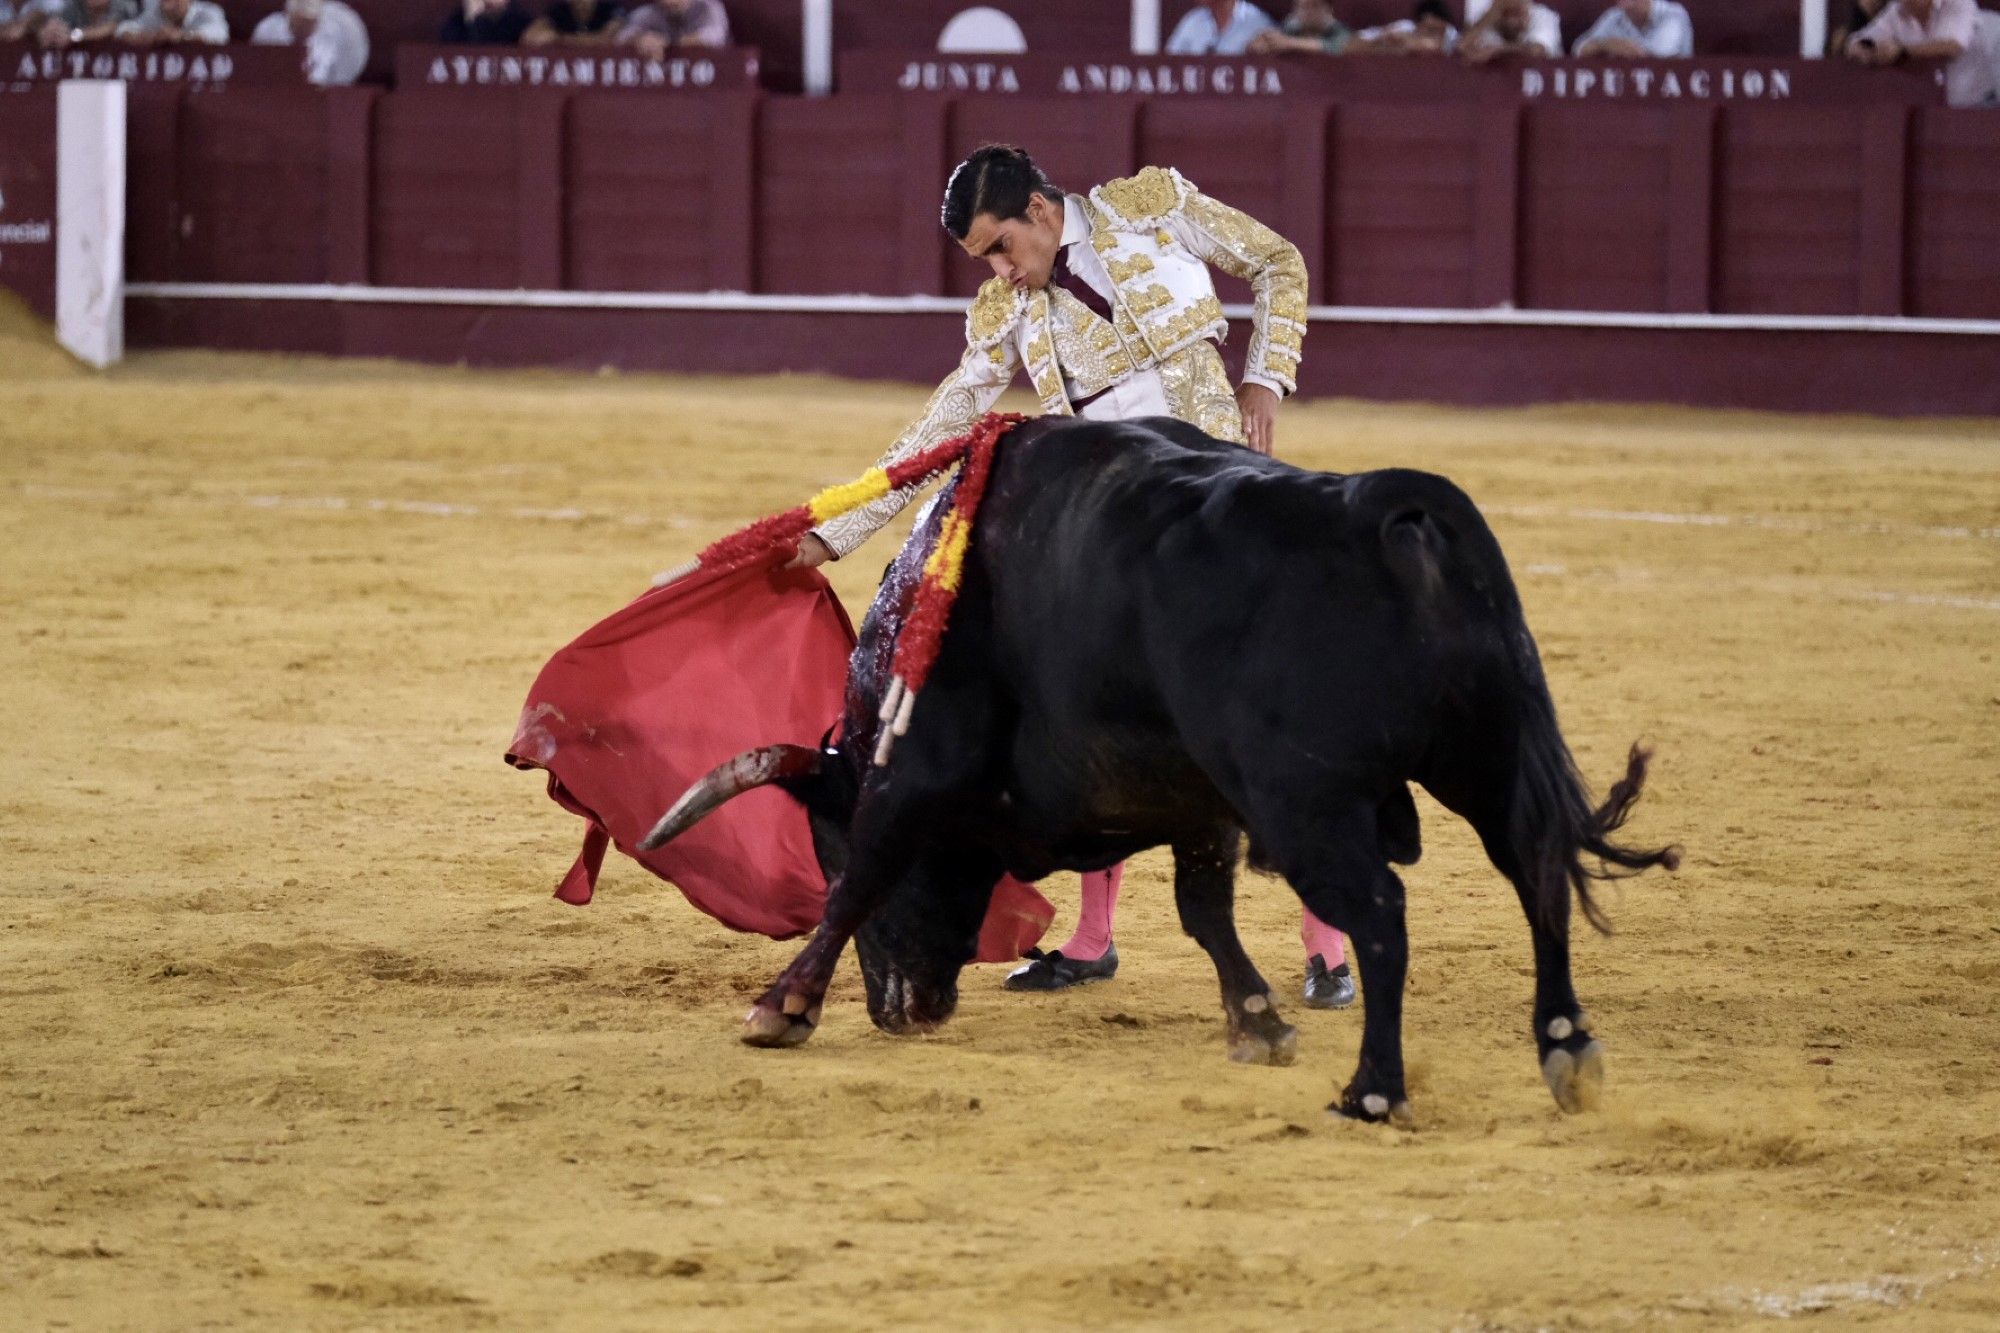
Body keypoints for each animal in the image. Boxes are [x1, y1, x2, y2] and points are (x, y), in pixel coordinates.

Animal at [636, 410, 1672, 1112]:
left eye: (825, 844)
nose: (905, 1010)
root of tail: (1390, 507)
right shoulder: (1198, 803)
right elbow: (1203, 910)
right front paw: (1258, 1022)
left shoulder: (917, 770)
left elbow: (870, 879)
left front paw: (782, 1007)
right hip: (1487, 757)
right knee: (1535, 873)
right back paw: (1565, 1047)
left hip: (1309, 801)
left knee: (1381, 913)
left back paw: (1374, 1090)